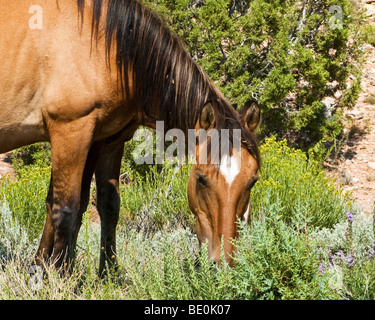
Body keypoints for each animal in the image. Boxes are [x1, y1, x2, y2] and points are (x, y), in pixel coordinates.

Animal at [0, 0, 262, 276]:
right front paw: (59, 275)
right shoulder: (70, 131)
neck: (106, 45)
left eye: (252, 182)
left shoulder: (105, 139)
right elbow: (65, 209)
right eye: (201, 179)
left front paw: (103, 274)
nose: (222, 265)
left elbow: (103, 205)